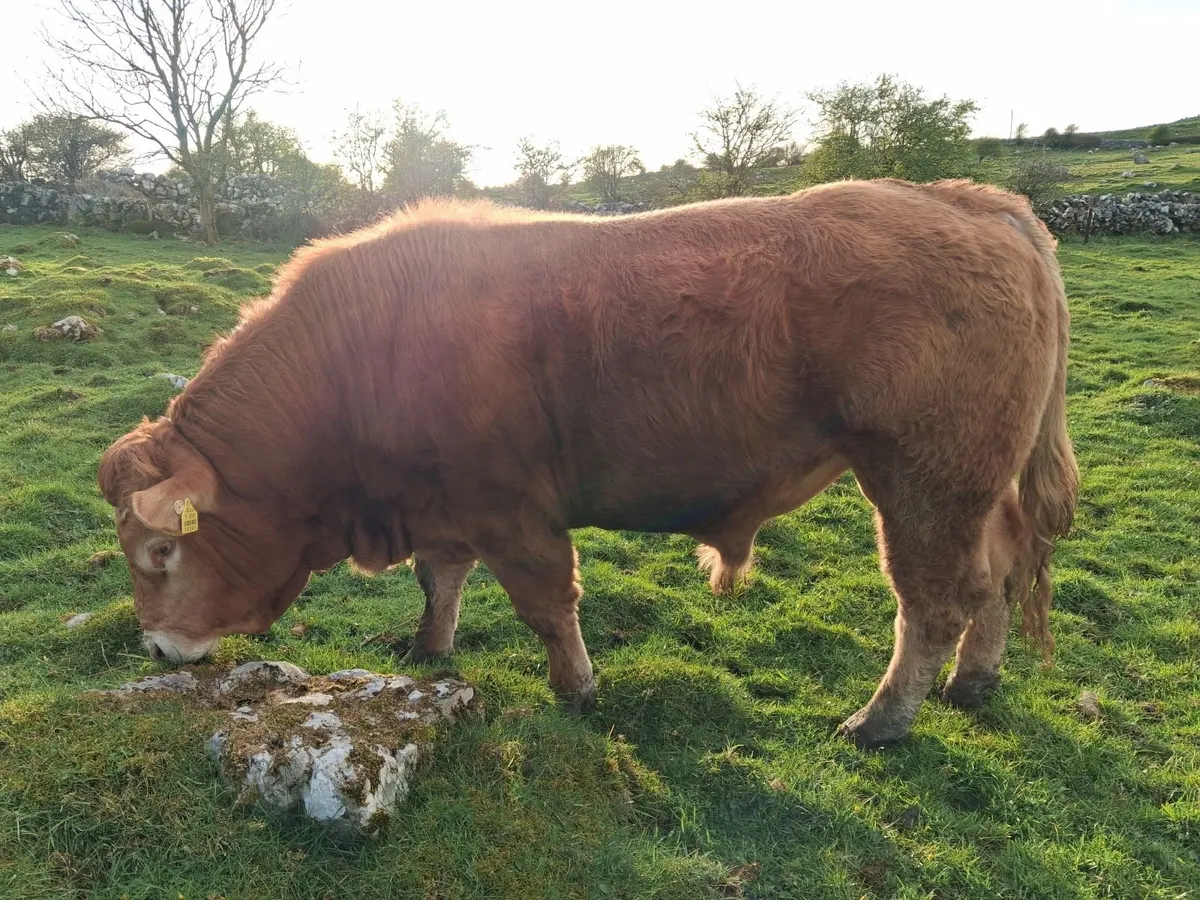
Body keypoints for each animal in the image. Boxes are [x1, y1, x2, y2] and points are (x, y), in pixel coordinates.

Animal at [97, 178, 1079, 748]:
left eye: (160, 551)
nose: (156, 645)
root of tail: (973, 200)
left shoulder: (513, 509)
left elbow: (545, 604)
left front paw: (575, 689)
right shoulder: (443, 504)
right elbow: (439, 581)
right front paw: (428, 647)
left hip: (925, 481)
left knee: (934, 601)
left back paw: (882, 719)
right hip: (977, 488)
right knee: (994, 580)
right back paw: (974, 684)